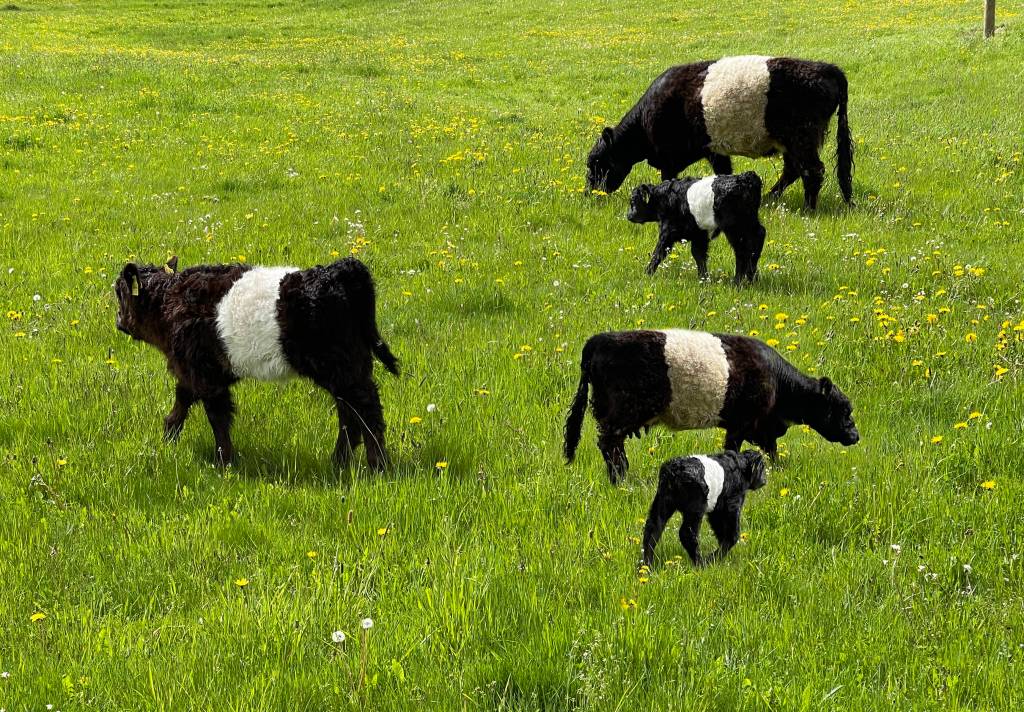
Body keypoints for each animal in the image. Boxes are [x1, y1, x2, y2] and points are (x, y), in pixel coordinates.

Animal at [114, 256, 397, 467]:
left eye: (119, 293)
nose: (118, 321)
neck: (169, 300)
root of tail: (339, 270)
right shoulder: (191, 371)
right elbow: (182, 402)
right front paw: (169, 439)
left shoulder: (205, 375)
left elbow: (217, 417)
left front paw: (224, 463)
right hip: (347, 369)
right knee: (349, 414)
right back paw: (338, 462)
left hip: (341, 368)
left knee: (367, 409)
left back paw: (378, 465)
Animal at [565, 327, 860, 485]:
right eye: (844, 410)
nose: (855, 436)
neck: (778, 381)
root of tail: (599, 339)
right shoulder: (742, 424)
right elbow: (734, 449)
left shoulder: (760, 427)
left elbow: (772, 450)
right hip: (623, 412)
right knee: (609, 442)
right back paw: (620, 477)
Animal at [589, 54, 851, 210]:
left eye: (596, 163)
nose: (590, 193)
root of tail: (825, 68)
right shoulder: (715, 150)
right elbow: (723, 174)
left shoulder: (669, 158)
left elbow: (668, 181)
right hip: (791, 143)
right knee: (793, 170)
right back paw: (768, 199)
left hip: (802, 138)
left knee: (812, 171)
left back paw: (808, 208)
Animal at [622, 171, 770, 282]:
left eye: (633, 201)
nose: (629, 215)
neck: (664, 198)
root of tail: (746, 177)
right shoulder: (699, 233)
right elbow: (698, 254)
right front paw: (703, 278)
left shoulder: (668, 231)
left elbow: (659, 252)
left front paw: (647, 273)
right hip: (749, 223)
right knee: (758, 237)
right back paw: (751, 277)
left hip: (734, 228)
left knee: (741, 251)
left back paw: (737, 282)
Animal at [638, 450, 770, 569]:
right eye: (762, 467)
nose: (765, 480)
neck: (742, 469)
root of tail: (674, 471)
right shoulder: (733, 502)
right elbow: (732, 534)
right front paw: (712, 559)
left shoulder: (717, 510)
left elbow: (720, 530)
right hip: (696, 505)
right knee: (687, 533)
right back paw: (700, 563)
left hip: (663, 499)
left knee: (653, 527)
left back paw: (647, 565)